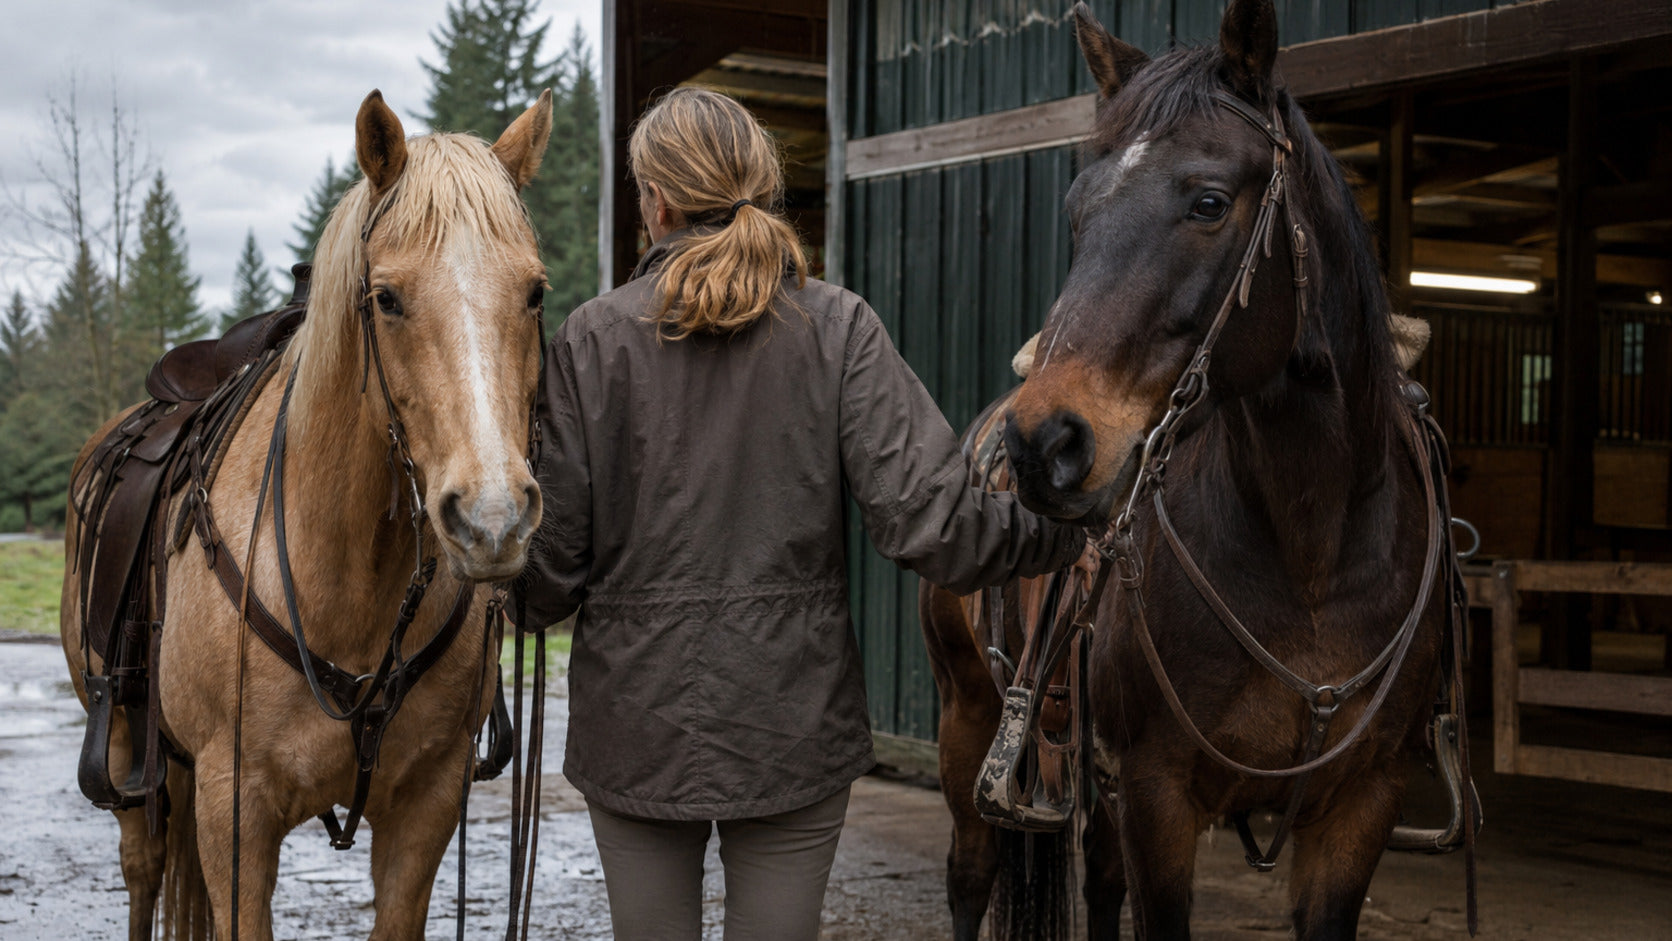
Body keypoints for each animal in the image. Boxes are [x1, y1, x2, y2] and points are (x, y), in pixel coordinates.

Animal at [60, 89, 552, 941]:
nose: (492, 518)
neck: (351, 583)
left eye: (535, 291)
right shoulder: (234, 812)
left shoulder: (426, 807)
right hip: (130, 748)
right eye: (386, 297)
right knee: (145, 869)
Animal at [924, 1, 1464, 938]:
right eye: (1077, 211)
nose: (1043, 443)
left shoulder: (1363, 802)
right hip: (969, 714)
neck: (1314, 550)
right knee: (971, 873)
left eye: (1209, 202)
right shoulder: (1158, 795)